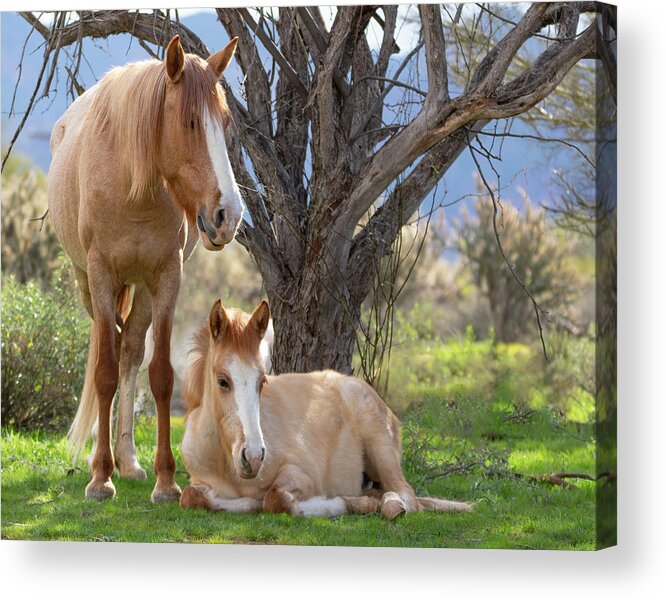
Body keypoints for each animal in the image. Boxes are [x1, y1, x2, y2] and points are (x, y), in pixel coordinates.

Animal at [48, 34, 243, 502]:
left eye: (226, 123)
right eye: (190, 123)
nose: (229, 215)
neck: (133, 188)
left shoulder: (167, 279)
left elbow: (160, 376)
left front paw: (166, 481)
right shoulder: (101, 275)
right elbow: (102, 373)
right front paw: (100, 479)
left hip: (144, 293)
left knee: (130, 351)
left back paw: (129, 460)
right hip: (90, 285)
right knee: (112, 349)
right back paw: (106, 462)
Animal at [179, 302, 470, 516]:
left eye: (262, 381)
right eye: (223, 381)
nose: (252, 457)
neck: (224, 461)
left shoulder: (302, 475)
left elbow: (276, 499)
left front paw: (348, 504)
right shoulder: (199, 483)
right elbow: (189, 496)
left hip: (381, 450)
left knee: (407, 495)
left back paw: (389, 506)